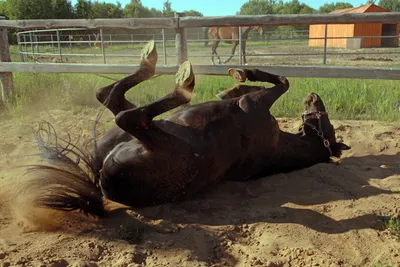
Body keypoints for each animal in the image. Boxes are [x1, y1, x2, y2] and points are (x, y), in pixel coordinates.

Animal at [21, 40, 348, 220]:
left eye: (328, 121)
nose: (314, 96)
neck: (276, 145)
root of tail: (102, 182)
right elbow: (258, 86)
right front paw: (234, 80)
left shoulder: (253, 104)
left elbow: (283, 82)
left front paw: (242, 74)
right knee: (110, 97)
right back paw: (153, 60)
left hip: (147, 134)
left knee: (125, 112)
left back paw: (181, 78)